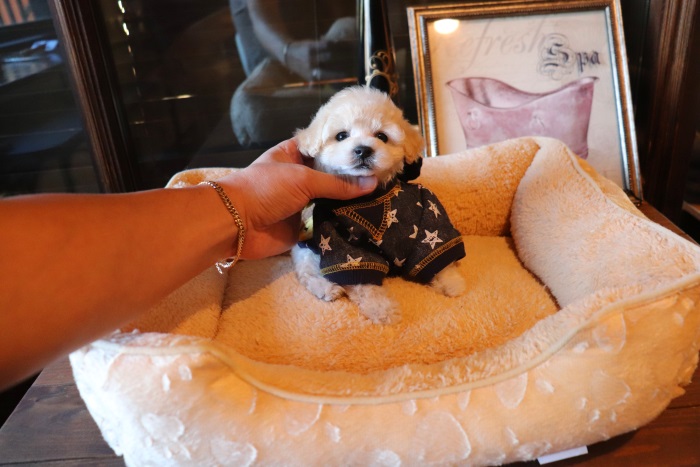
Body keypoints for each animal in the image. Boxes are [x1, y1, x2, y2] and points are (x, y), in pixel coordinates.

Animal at [291, 86, 466, 324]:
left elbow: (433, 246)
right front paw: (382, 309)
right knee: (308, 271)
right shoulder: (334, 234)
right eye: (341, 136)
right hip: (309, 249)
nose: (363, 150)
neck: (370, 199)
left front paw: (450, 281)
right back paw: (327, 288)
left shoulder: (427, 211)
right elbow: (361, 276)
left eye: (382, 136)